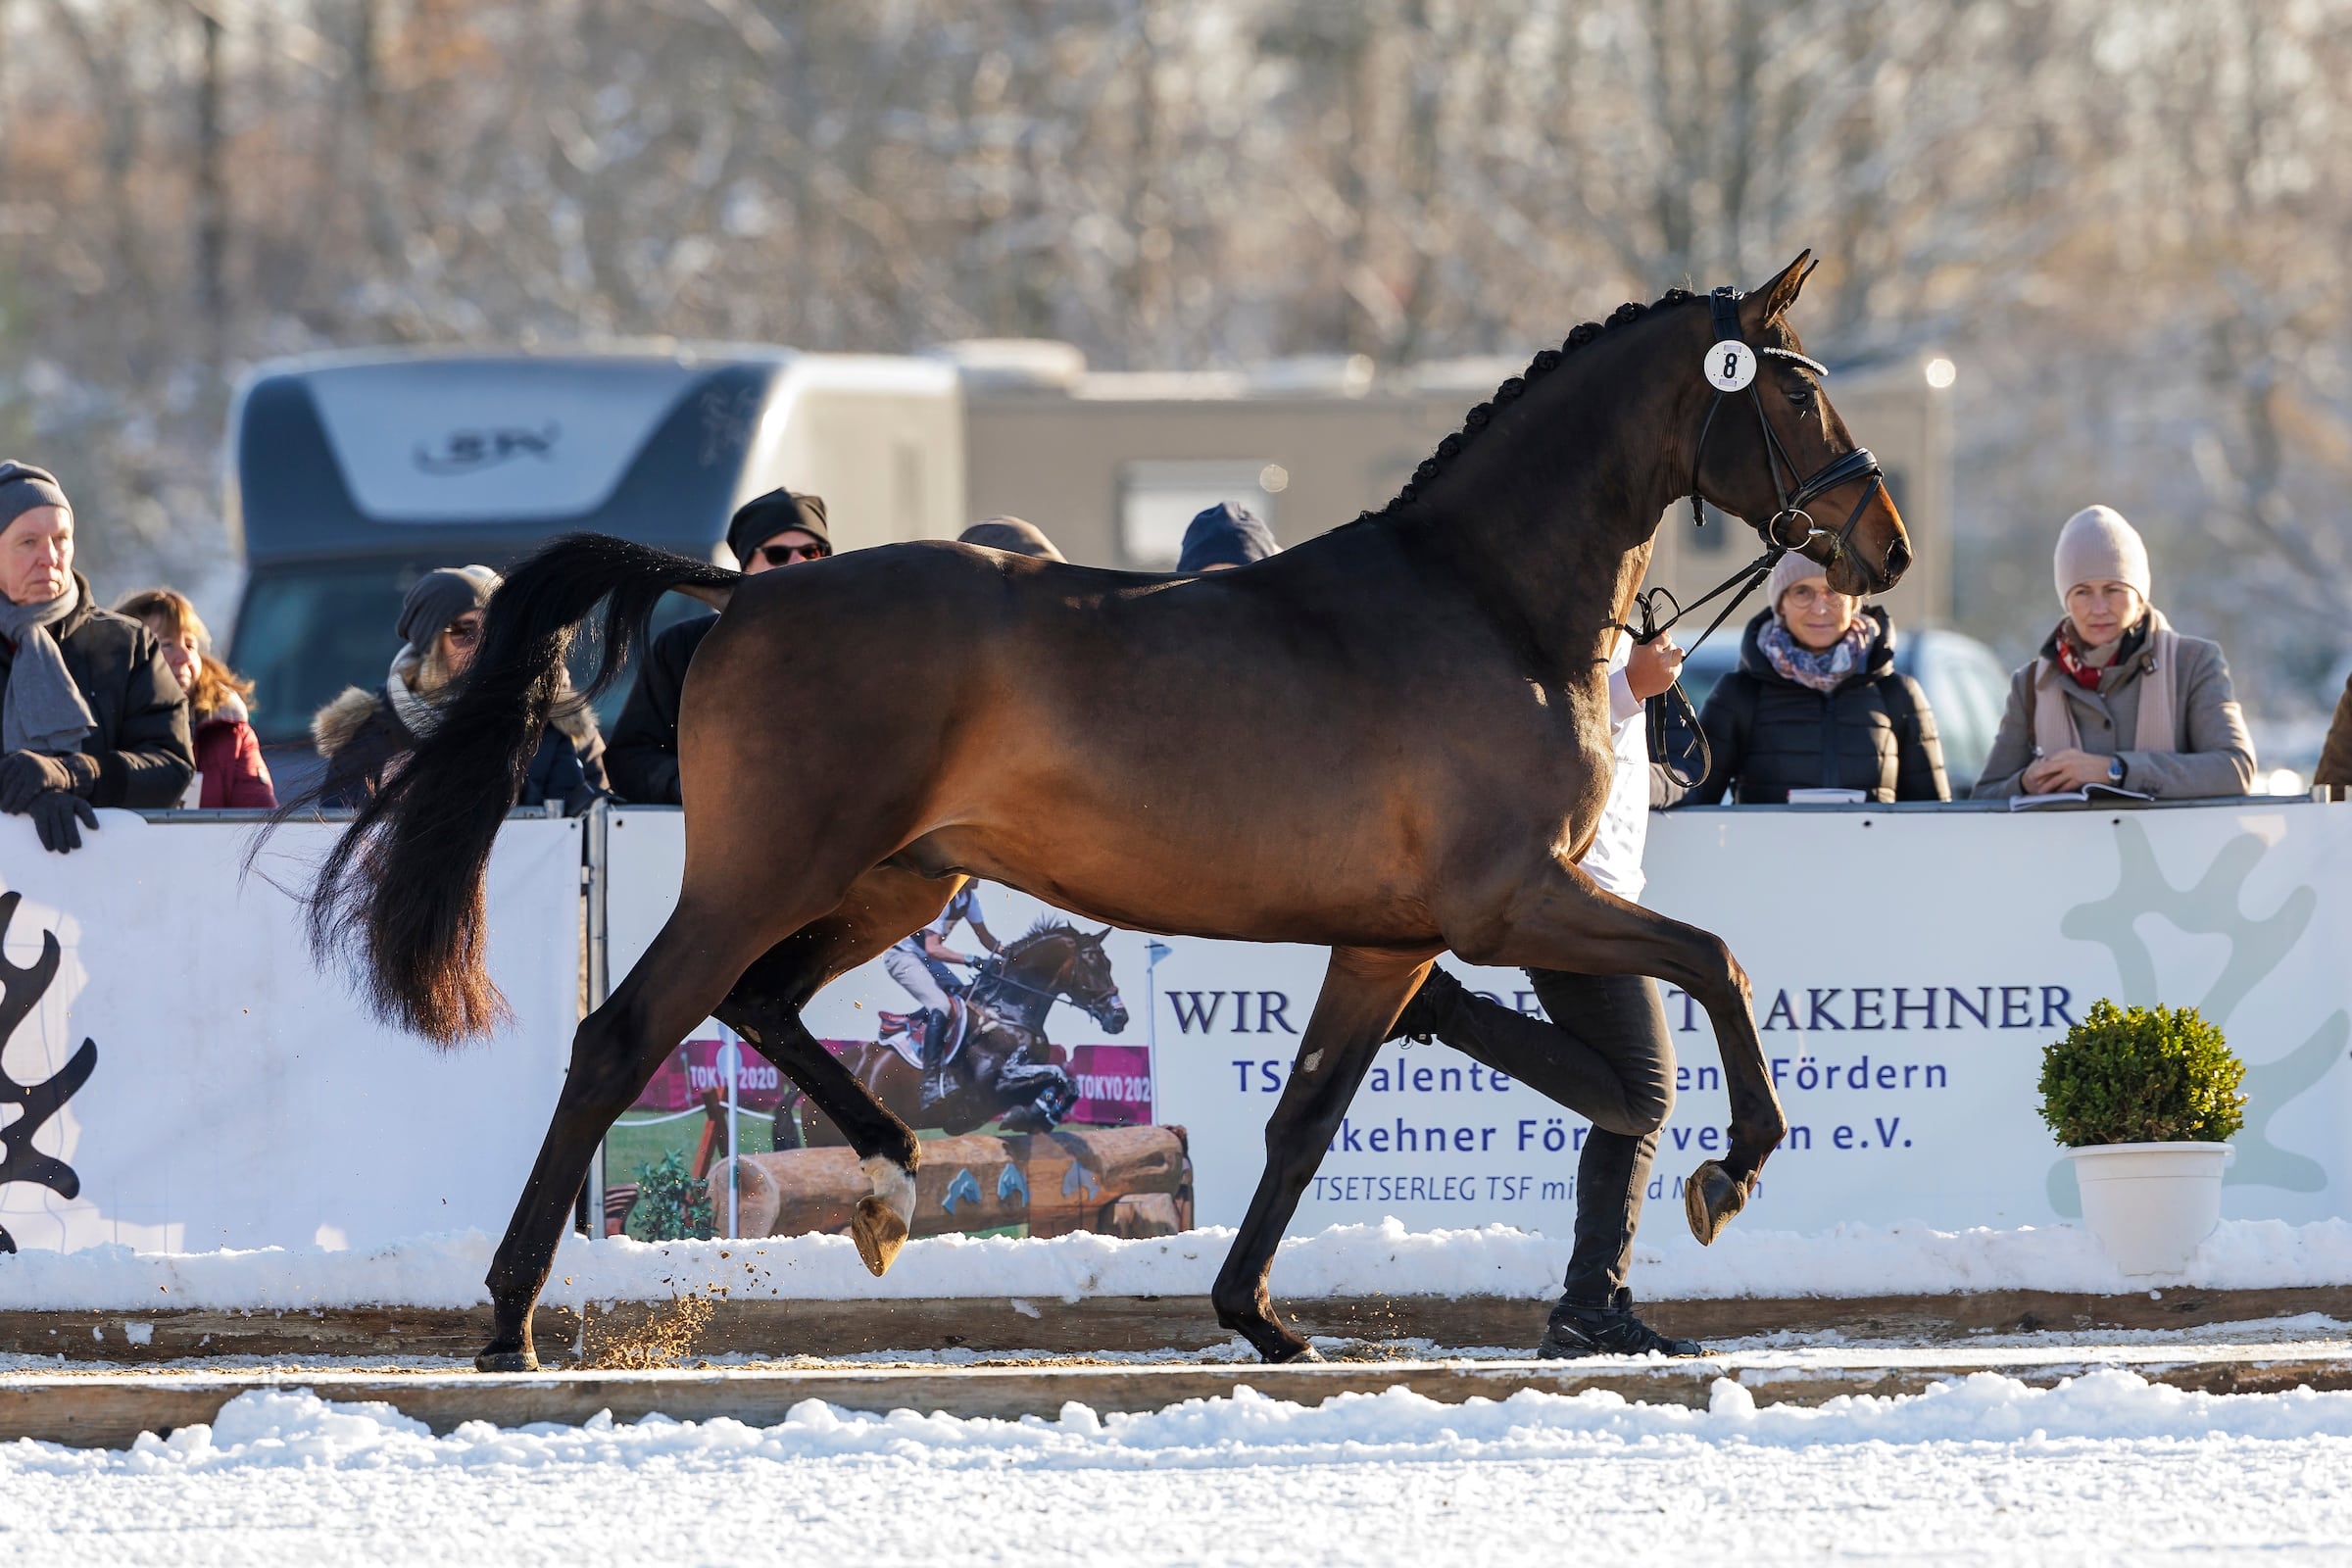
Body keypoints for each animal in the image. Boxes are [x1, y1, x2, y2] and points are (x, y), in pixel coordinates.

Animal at [804, 921, 1133, 1142]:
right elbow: (1057, 1074)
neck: (1008, 1012)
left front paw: (1037, 1116)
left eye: (1109, 963)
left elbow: (1067, 1082)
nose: (1120, 1017)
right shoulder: (991, 1088)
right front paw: (1029, 1114)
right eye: (1092, 964)